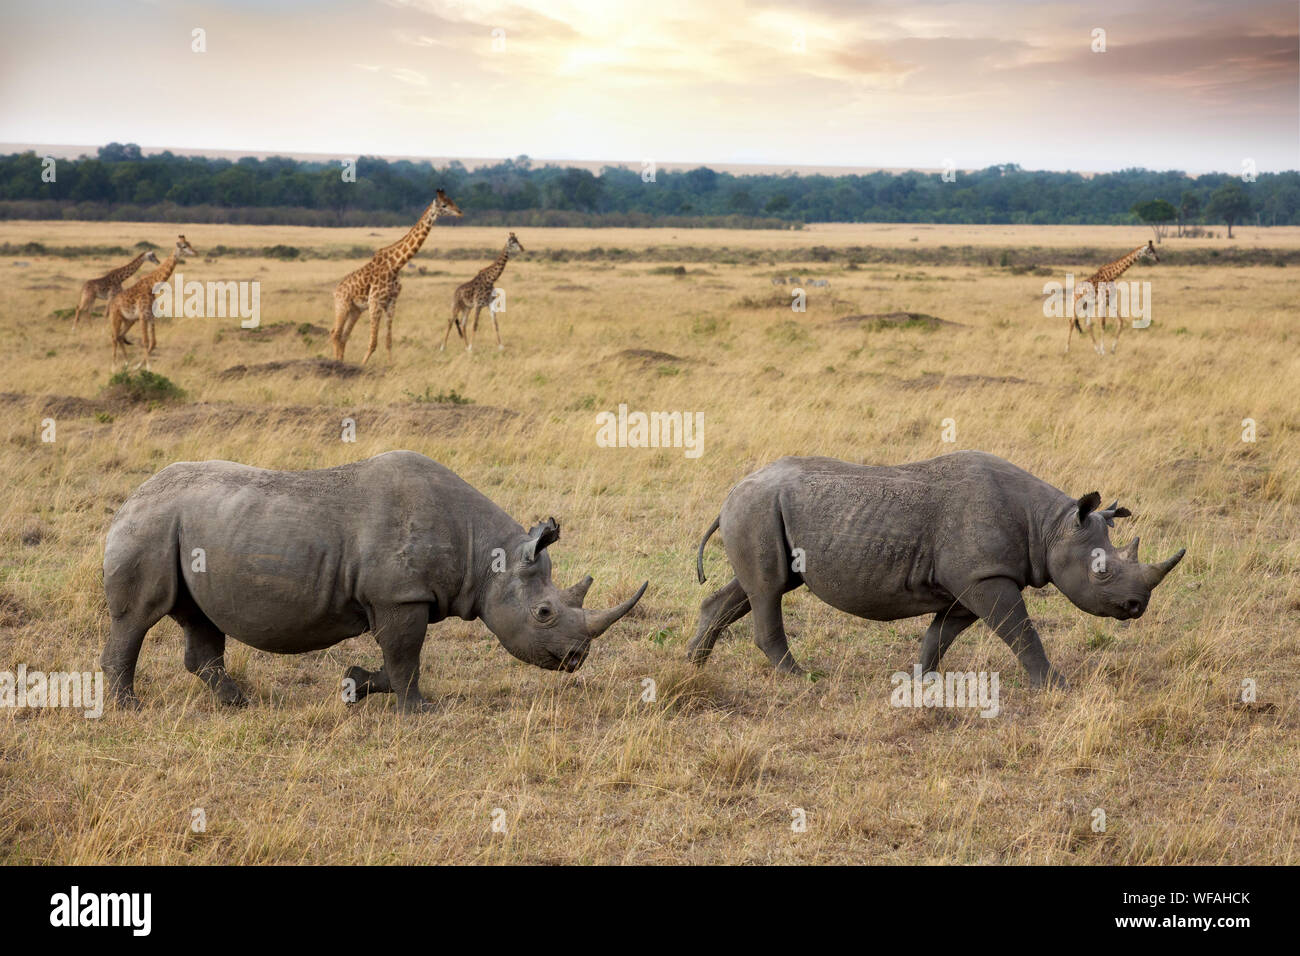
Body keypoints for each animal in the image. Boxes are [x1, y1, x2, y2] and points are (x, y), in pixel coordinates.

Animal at [108, 235, 197, 369]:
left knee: (120, 336)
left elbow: (153, 342)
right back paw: (113, 367)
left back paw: (127, 363)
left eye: (190, 243)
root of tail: (112, 304)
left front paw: (138, 366)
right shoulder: (142, 315)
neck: (152, 285)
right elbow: (145, 341)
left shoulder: (150, 316)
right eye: (184, 246)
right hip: (116, 317)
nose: (195, 252)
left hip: (129, 320)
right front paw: (148, 367)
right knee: (114, 337)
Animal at [330, 188, 462, 364]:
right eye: (444, 205)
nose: (459, 212)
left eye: (451, 200)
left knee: (343, 336)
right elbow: (373, 342)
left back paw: (340, 362)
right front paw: (364, 366)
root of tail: (336, 290)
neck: (396, 265)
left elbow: (388, 341)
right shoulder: (375, 303)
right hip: (342, 305)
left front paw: (390, 365)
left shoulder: (391, 303)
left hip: (355, 310)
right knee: (335, 334)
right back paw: (336, 362)